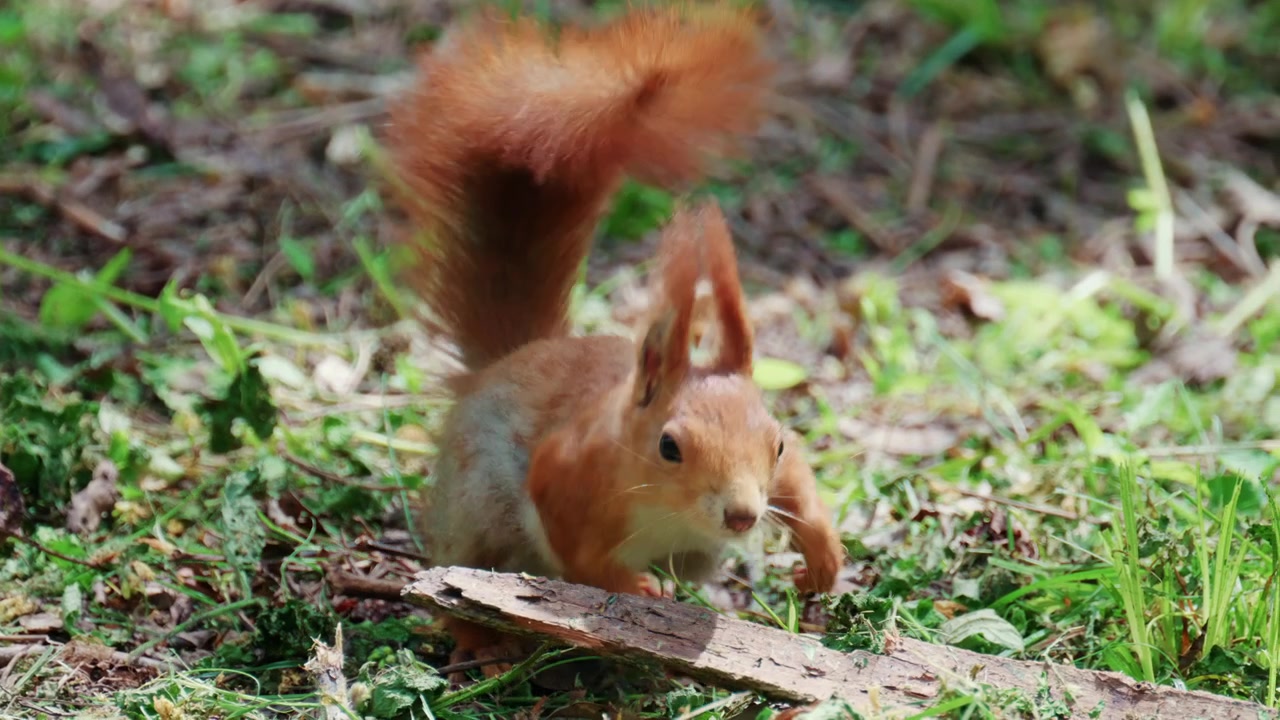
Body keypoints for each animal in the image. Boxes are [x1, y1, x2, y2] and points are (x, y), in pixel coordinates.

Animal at [385, 3, 845, 679]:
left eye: (778, 441)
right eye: (669, 447)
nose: (742, 515)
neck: (665, 505)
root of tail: (503, 363)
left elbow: (803, 488)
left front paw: (823, 557)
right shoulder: (571, 477)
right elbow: (580, 552)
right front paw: (635, 592)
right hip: (472, 513)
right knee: (456, 577)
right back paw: (482, 642)